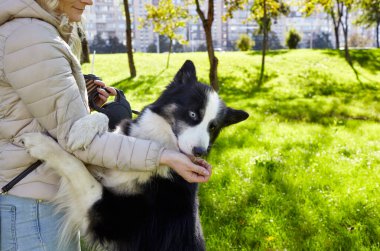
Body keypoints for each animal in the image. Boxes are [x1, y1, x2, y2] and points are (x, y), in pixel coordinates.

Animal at [20, 61, 249, 251]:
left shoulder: (111, 217)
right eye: (193, 114)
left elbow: (74, 166)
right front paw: (83, 129)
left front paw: (40, 144)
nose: (199, 152)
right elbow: (104, 121)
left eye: (213, 127)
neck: (154, 143)